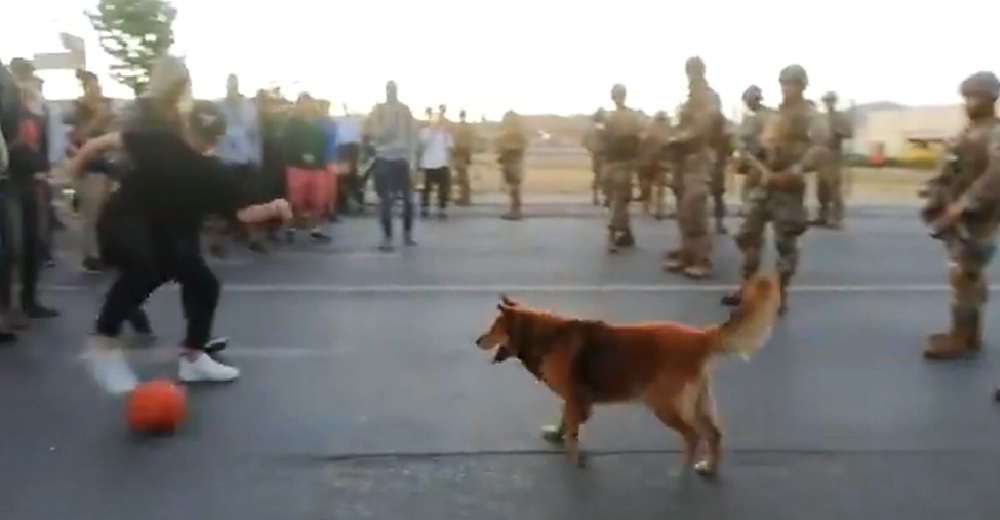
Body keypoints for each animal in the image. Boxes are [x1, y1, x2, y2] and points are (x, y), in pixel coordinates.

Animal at [474, 272, 780, 476]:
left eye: (494, 329)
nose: (477, 341)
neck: (545, 337)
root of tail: (700, 336)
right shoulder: (574, 398)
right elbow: (566, 422)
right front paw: (558, 435)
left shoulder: (575, 399)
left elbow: (573, 432)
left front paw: (572, 458)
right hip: (697, 401)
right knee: (714, 434)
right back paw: (708, 468)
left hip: (664, 405)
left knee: (693, 435)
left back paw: (681, 472)